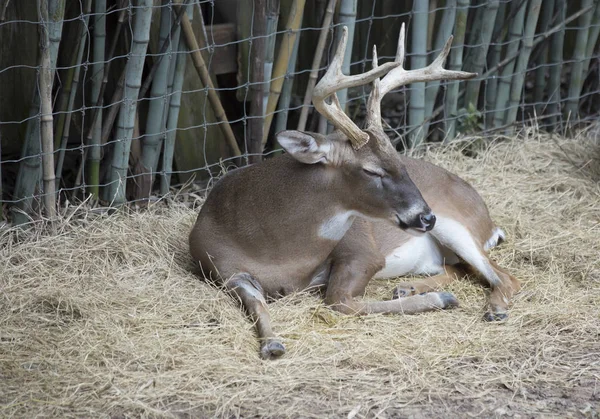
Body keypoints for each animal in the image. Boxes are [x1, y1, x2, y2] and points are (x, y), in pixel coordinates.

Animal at [189, 25, 520, 360]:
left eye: (400, 159)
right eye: (372, 170)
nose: (426, 217)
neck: (277, 250)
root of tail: (491, 223)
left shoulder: (363, 250)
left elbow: (339, 300)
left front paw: (443, 300)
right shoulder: (224, 271)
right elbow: (257, 304)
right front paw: (272, 343)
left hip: (457, 225)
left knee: (505, 275)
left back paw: (493, 309)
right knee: (461, 269)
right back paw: (410, 287)